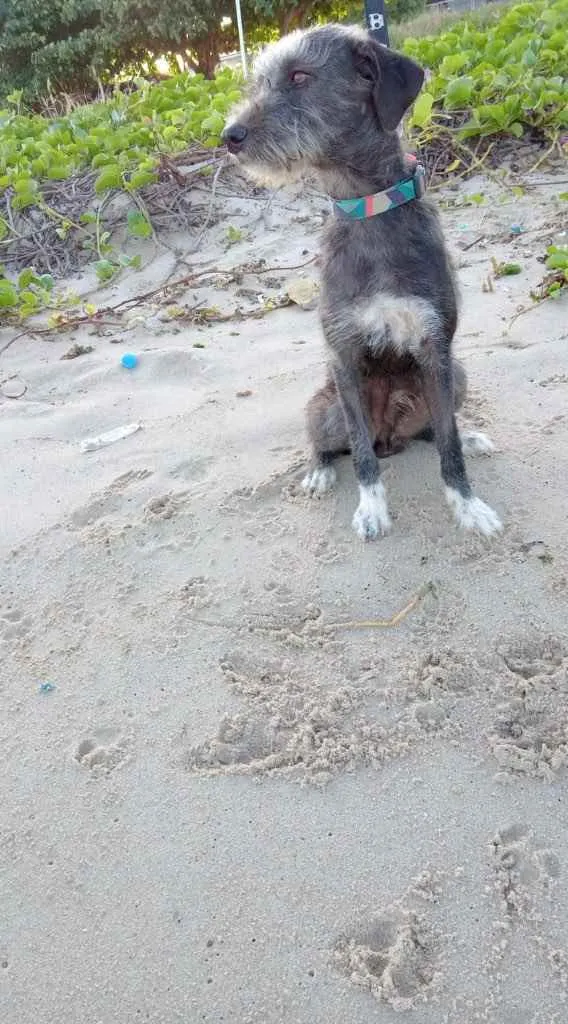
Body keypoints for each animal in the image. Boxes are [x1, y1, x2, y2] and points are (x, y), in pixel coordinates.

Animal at [222, 24, 501, 540]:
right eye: (262, 81)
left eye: (300, 75)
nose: (230, 136)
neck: (369, 209)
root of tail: (391, 437)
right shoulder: (345, 357)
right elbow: (362, 456)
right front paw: (371, 508)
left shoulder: (435, 348)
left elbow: (448, 447)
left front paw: (468, 505)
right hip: (324, 407)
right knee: (336, 445)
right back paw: (318, 472)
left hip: (458, 376)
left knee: (436, 429)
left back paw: (468, 434)